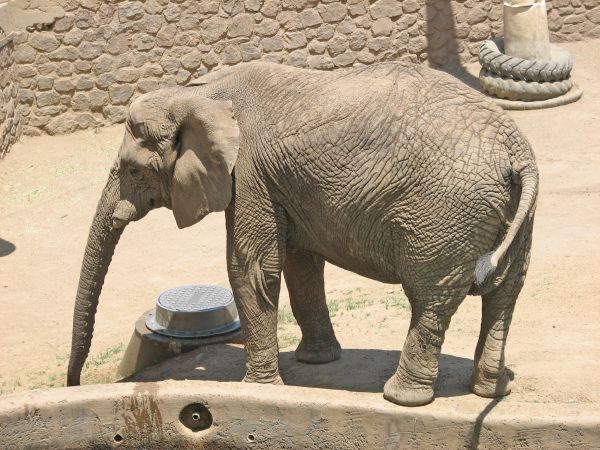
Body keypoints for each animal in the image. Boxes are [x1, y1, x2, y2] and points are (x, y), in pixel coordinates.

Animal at [67, 60, 540, 408]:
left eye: (132, 170)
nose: (73, 385)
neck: (200, 92)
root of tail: (516, 151)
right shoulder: (280, 182)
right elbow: (298, 263)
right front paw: (315, 362)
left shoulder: (249, 173)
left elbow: (251, 268)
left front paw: (258, 391)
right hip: (515, 212)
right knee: (505, 293)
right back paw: (491, 389)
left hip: (444, 213)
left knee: (431, 298)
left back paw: (403, 399)